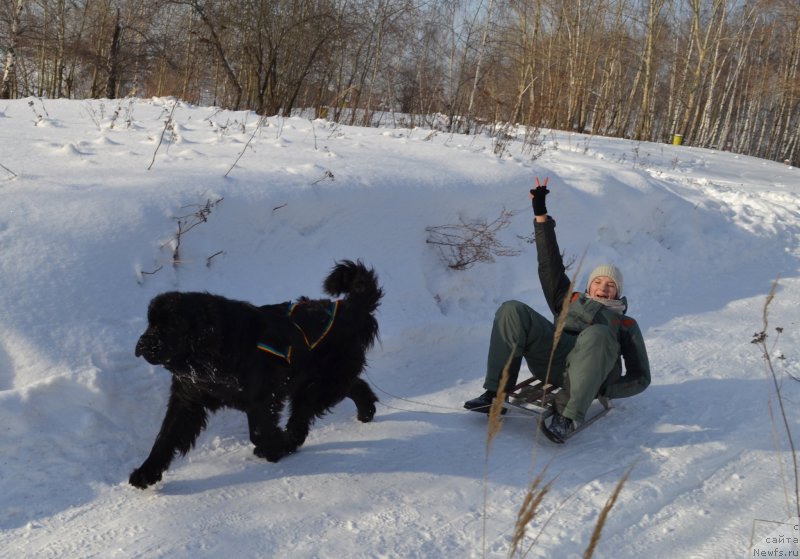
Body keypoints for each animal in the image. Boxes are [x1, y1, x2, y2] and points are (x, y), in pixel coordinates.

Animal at [129, 260, 384, 488]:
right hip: (320, 382)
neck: (212, 350)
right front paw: (146, 472)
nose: (141, 344)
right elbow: (165, 437)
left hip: (316, 386)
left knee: (301, 421)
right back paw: (366, 411)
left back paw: (286, 443)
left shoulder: (263, 397)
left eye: (169, 327)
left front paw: (272, 447)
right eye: (150, 323)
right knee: (354, 385)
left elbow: (259, 432)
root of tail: (347, 310)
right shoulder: (188, 399)